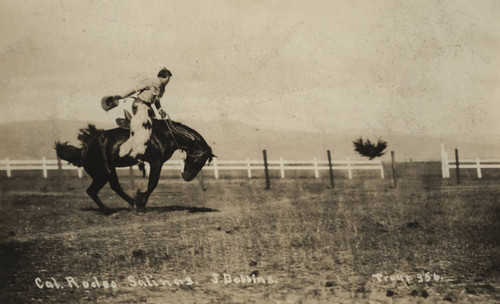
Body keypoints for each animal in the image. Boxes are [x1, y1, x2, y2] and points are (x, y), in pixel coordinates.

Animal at [55, 119, 215, 214]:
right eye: (198, 160)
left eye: (203, 162)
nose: (187, 177)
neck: (165, 134)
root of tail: (83, 150)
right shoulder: (156, 163)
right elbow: (152, 184)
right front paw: (142, 201)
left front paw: (140, 201)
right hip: (104, 173)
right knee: (94, 190)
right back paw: (116, 208)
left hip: (109, 171)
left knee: (108, 188)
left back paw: (130, 204)